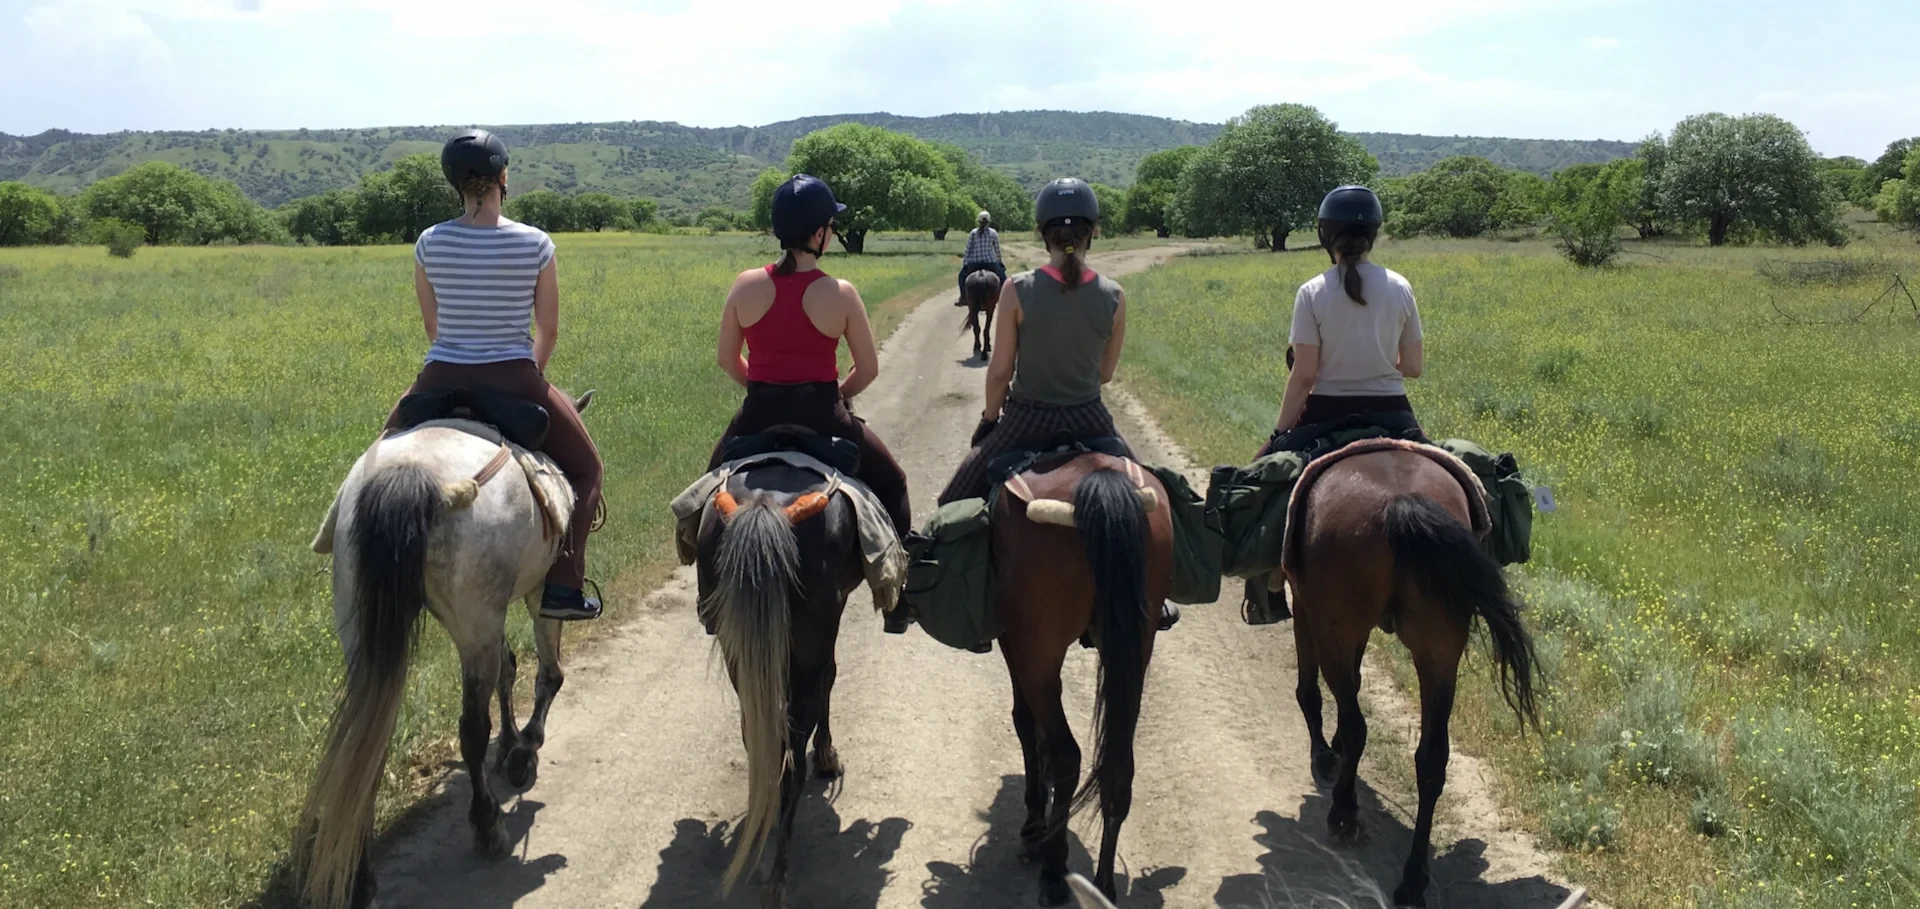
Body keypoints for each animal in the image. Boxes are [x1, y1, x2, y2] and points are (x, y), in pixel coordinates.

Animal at [293, 393, 583, 907]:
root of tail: (412, 477)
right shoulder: (536, 594)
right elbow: (546, 674)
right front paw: (522, 751)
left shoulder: (491, 617)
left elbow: (508, 671)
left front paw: (510, 743)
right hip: (476, 614)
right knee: (471, 727)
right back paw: (488, 827)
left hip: (368, 627)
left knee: (368, 737)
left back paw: (360, 875)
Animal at [698, 461, 864, 907]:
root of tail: (765, 504)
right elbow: (831, 676)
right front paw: (827, 755)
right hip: (805, 653)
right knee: (791, 765)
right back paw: (777, 876)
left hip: (738, 653)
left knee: (761, 743)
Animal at [1282, 442, 1536, 903]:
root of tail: (1401, 502)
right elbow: (1353, 683)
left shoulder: (1306, 607)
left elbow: (1311, 691)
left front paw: (1325, 755)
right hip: (1439, 650)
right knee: (1432, 759)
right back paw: (1412, 879)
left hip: (1336, 628)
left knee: (1356, 721)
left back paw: (1344, 811)